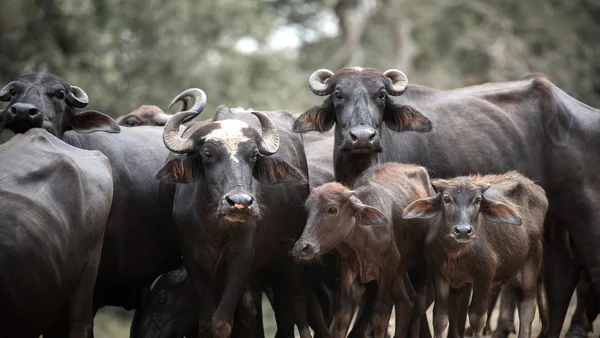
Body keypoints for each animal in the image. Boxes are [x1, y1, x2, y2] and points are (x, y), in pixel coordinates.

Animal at [292, 162, 434, 336]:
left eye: (332, 209)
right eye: (307, 209)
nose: (302, 247)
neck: (367, 235)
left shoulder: (387, 271)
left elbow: (380, 317)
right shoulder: (347, 268)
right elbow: (343, 315)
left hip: (422, 265)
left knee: (419, 303)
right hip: (400, 273)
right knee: (407, 301)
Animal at [404, 173, 548, 338]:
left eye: (478, 200)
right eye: (446, 199)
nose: (463, 231)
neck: (456, 253)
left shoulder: (484, 274)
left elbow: (476, 318)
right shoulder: (439, 273)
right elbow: (440, 317)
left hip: (532, 261)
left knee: (527, 304)